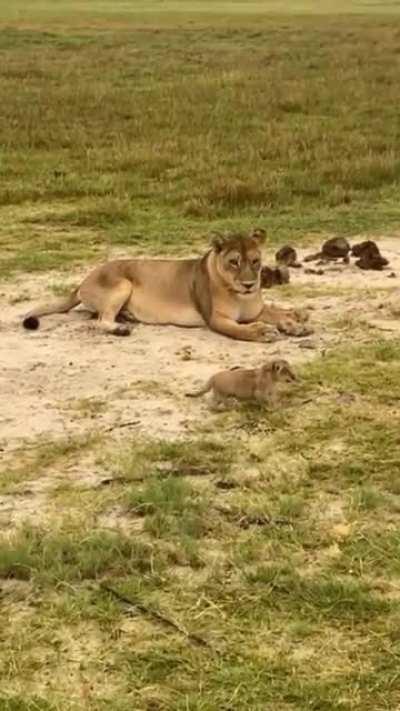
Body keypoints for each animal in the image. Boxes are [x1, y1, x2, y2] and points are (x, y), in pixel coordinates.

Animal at [22, 229, 311, 341]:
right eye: (233, 262)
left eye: (255, 261)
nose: (250, 284)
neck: (240, 295)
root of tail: (83, 279)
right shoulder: (215, 320)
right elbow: (242, 330)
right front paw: (263, 331)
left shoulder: (256, 309)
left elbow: (275, 311)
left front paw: (294, 322)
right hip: (122, 284)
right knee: (100, 320)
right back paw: (121, 328)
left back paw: (127, 318)